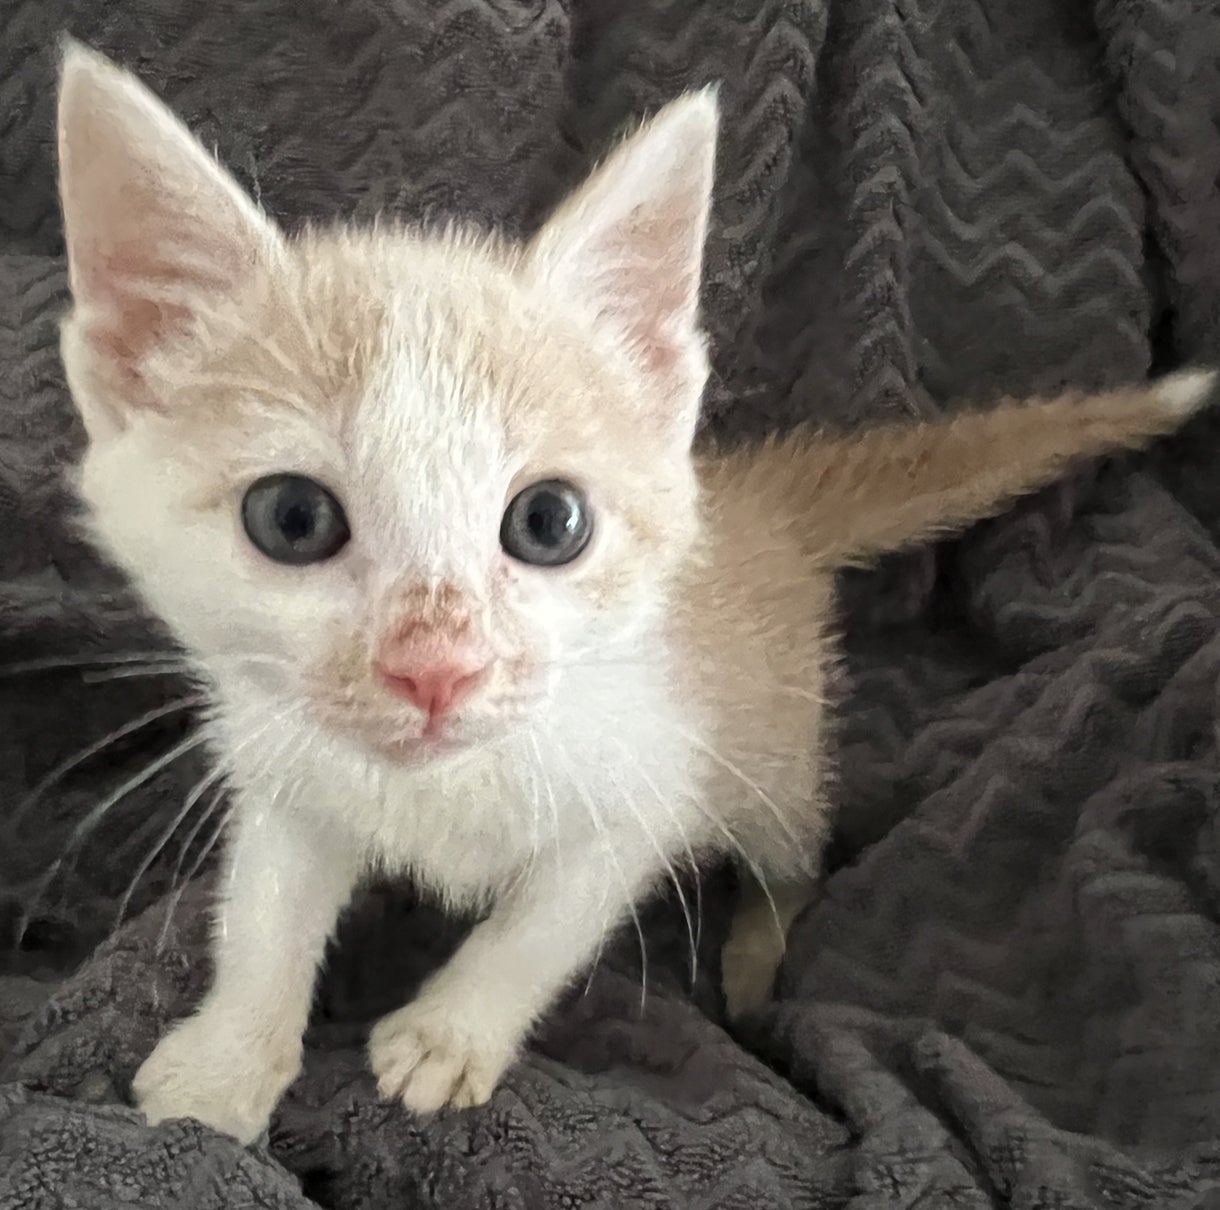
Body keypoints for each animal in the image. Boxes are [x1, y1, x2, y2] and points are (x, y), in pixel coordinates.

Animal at [54, 42, 1215, 1145]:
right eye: (291, 518)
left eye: (548, 522)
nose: (437, 668)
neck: (446, 787)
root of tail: (758, 509)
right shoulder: (288, 768)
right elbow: (264, 913)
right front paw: (227, 1058)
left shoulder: (651, 774)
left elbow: (546, 923)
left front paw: (450, 1031)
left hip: (769, 756)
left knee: (796, 846)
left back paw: (757, 948)